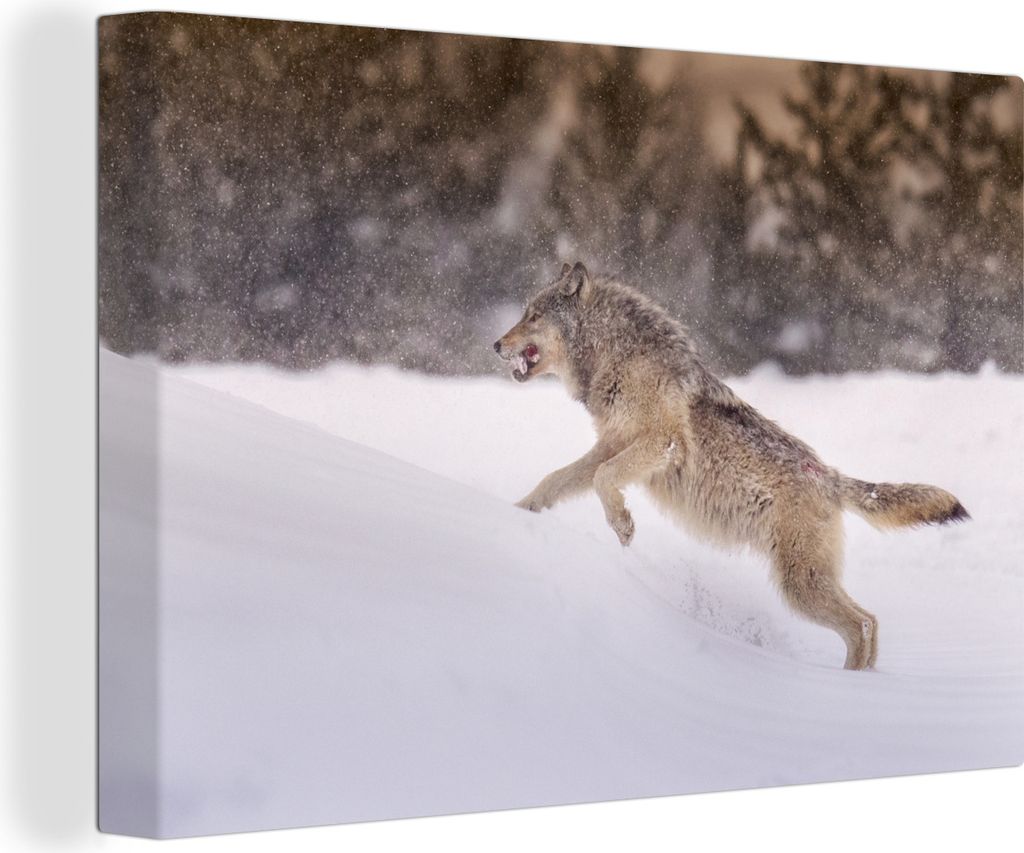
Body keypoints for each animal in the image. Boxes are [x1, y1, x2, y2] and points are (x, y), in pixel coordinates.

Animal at [494, 262, 968, 670]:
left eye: (533, 316)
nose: (496, 344)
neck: (616, 356)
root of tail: (831, 478)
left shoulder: (662, 442)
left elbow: (603, 479)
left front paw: (624, 527)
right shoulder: (610, 443)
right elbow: (560, 479)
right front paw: (518, 513)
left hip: (798, 586)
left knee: (863, 624)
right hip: (806, 582)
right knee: (869, 623)